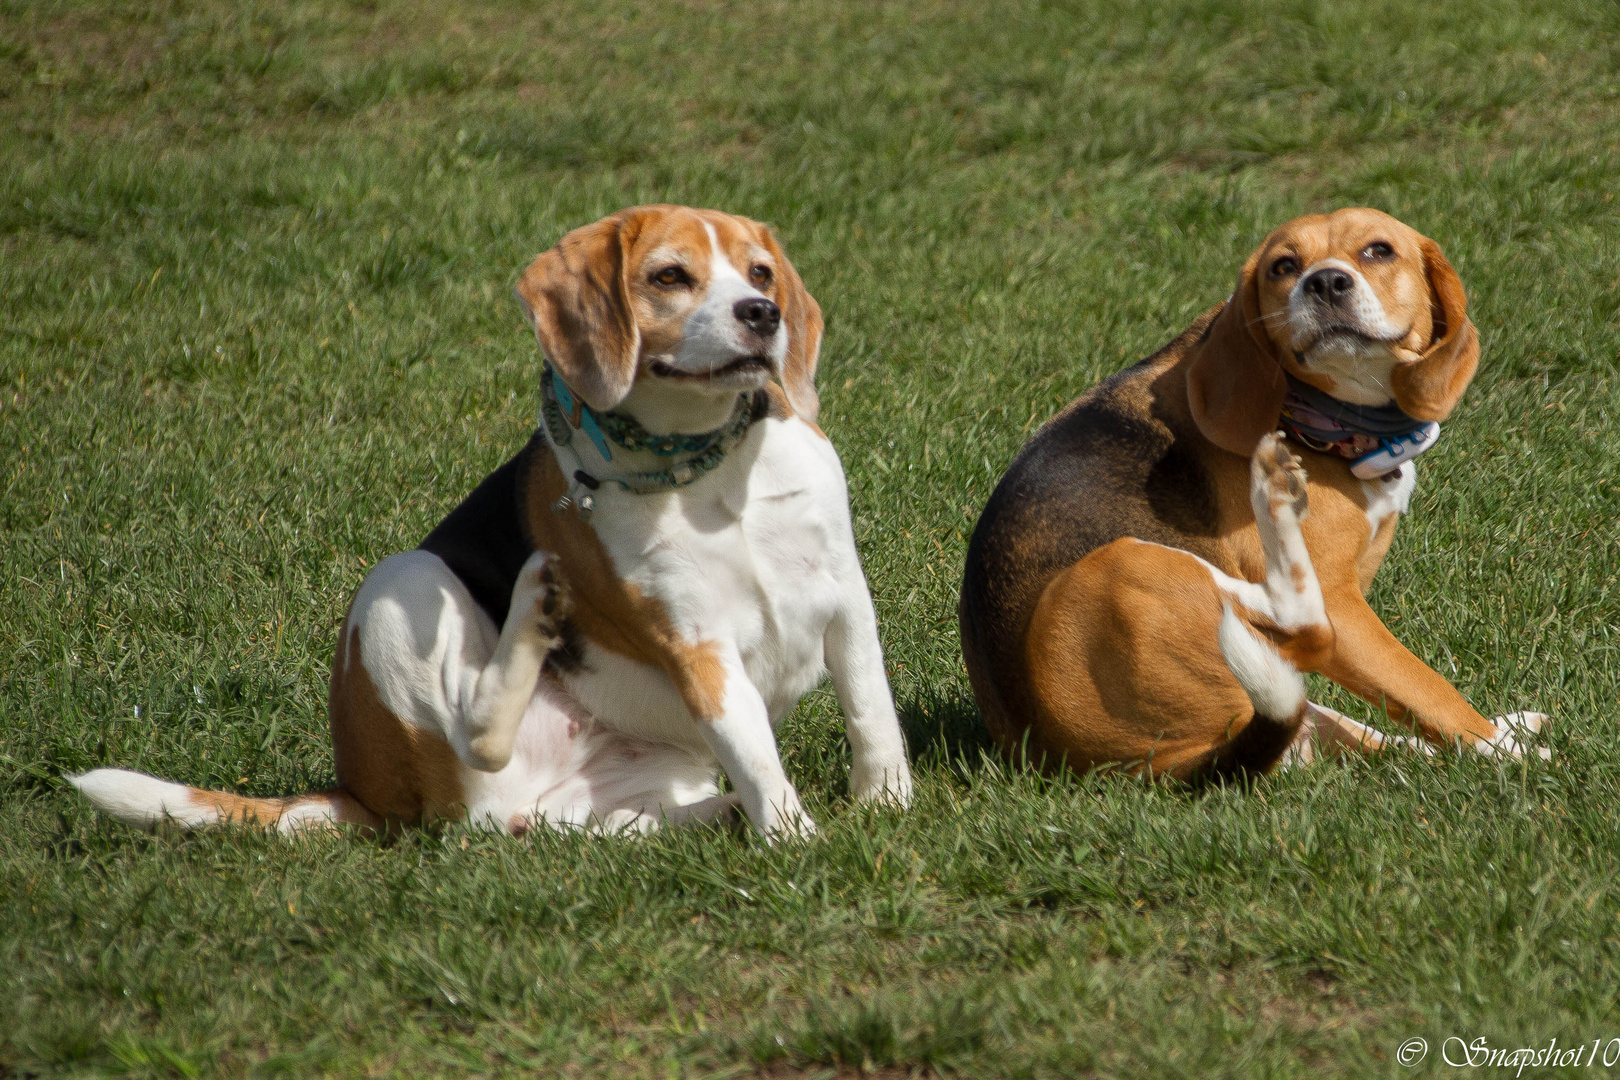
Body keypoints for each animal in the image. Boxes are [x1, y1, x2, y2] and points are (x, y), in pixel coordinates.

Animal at [72, 204, 913, 841]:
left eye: (761, 272)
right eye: (669, 276)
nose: (762, 314)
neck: (711, 471)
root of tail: (365, 796)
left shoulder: (845, 594)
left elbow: (871, 710)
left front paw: (887, 805)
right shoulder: (697, 644)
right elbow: (761, 756)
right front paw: (796, 842)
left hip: (651, 777)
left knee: (580, 825)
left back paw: (713, 813)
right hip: (404, 583)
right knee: (475, 737)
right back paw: (533, 613)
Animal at [959, 207, 1542, 780]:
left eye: (1379, 250)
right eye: (1283, 266)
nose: (1325, 282)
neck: (1325, 419)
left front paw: (1501, 739)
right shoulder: (1346, 606)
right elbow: (1426, 688)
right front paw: (1500, 750)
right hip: (1121, 565)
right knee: (1306, 624)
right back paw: (1273, 497)